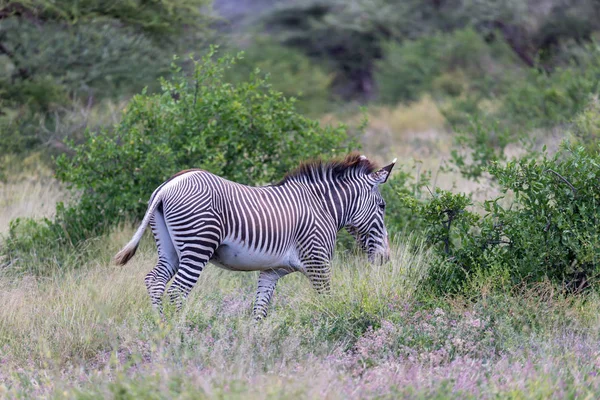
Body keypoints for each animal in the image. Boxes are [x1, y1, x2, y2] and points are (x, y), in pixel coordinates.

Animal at [116, 153, 398, 318]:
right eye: (383, 206)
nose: (385, 257)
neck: (323, 207)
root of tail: (168, 186)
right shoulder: (317, 260)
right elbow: (328, 299)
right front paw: (333, 325)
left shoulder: (271, 271)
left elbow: (259, 311)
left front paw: (257, 343)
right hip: (198, 244)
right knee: (177, 291)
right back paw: (180, 332)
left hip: (170, 248)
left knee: (155, 280)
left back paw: (161, 326)